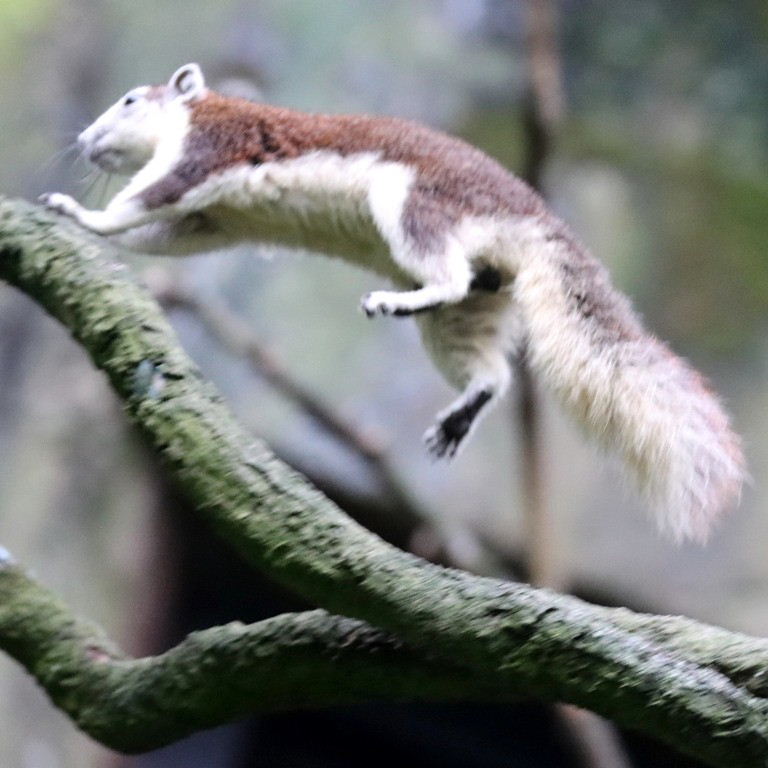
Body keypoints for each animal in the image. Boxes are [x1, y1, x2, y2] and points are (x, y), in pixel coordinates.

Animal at [40, 63, 745, 542]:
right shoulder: (206, 222)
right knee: (491, 371)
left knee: (449, 280)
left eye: (131, 100)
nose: (83, 139)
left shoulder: (205, 154)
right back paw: (458, 414)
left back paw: (395, 301)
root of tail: (534, 218)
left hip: (414, 207)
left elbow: (138, 201)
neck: (196, 116)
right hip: (474, 309)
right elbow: (162, 236)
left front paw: (78, 212)